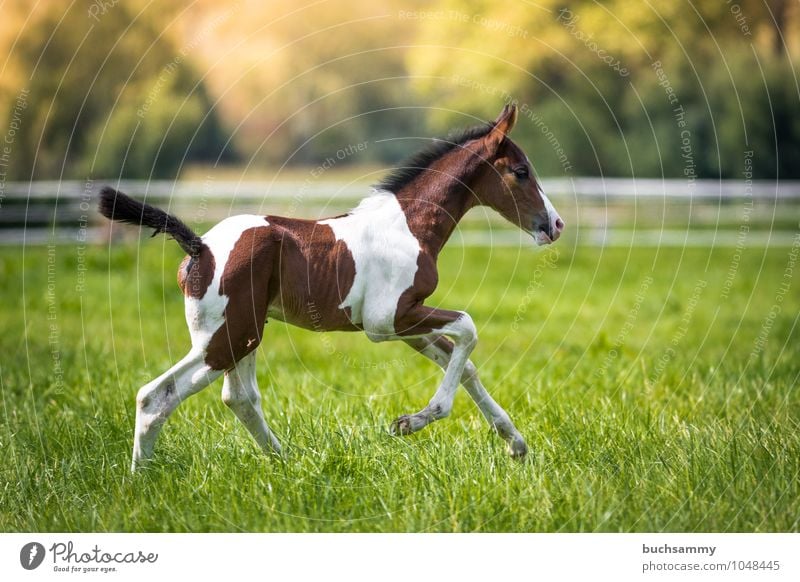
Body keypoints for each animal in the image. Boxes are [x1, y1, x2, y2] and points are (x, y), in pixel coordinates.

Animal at [98, 102, 564, 472]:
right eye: (521, 172)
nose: (555, 224)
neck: (410, 225)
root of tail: (201, 247)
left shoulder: (408, 324)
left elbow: (463, 364)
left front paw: (516, 444)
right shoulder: (388, 320)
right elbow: (468, 328)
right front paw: (411, 422)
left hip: (243, 334)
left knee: (239, 398)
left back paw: (284, 462)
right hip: (224, 338)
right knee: (155, 396)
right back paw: (141, 482)